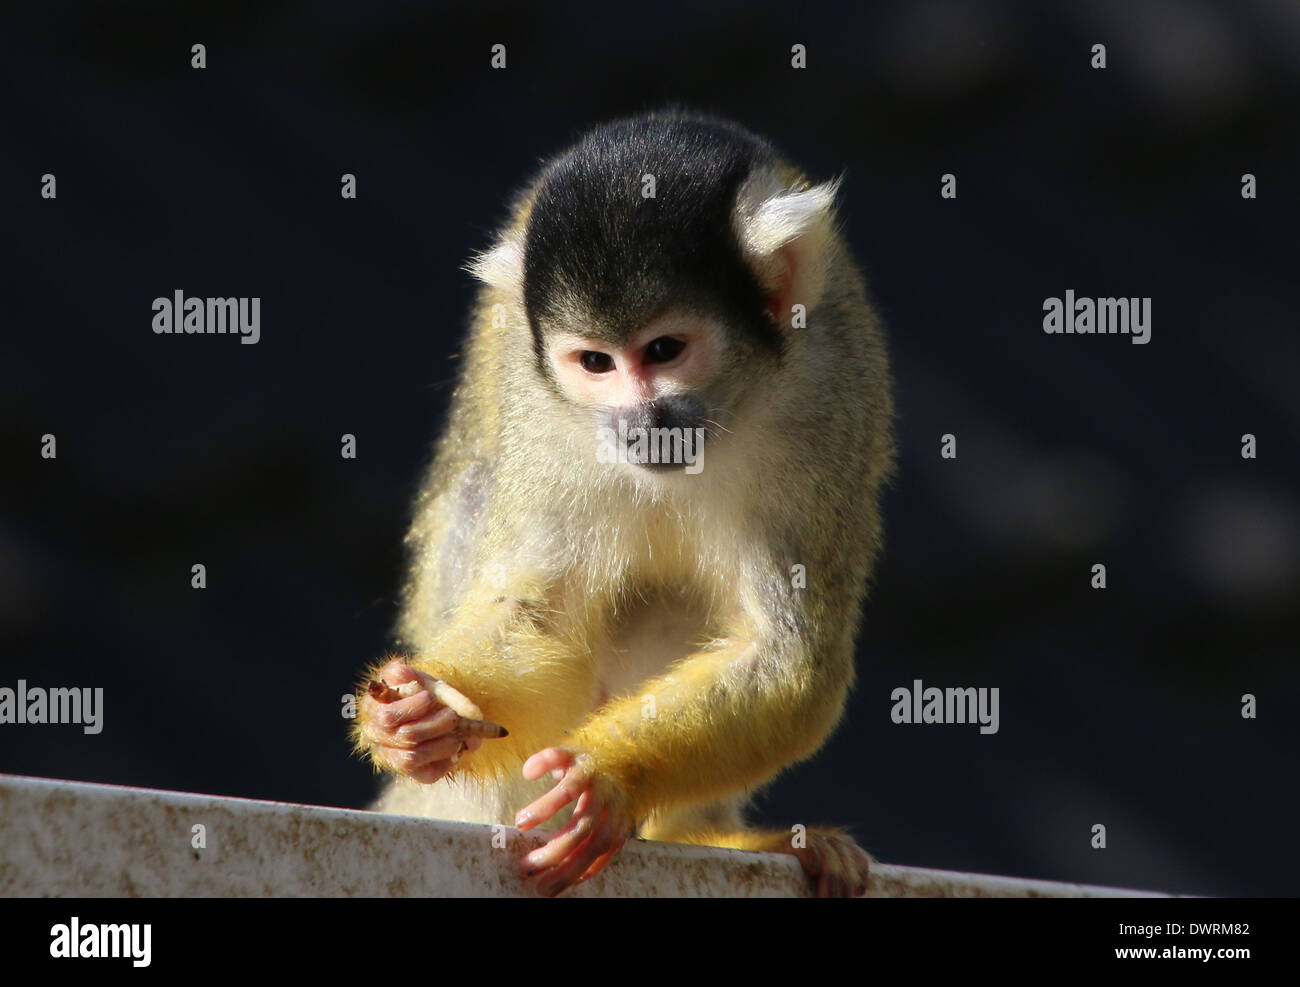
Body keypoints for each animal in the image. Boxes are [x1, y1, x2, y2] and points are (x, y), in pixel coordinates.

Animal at [356, 111, 894, 899]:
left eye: (665, 350)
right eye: (596, 363)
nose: (641, 422)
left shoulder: (824, 393)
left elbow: (791, 656)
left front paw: (608, 775)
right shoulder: (541, 410)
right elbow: (540, 614)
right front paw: (427, 710)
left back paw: (707, 830)